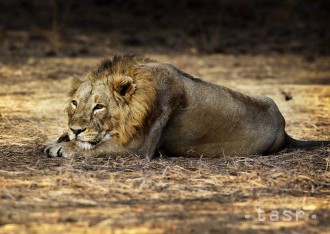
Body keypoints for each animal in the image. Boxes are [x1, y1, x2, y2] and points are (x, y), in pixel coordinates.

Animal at [44, 54, 330, 159]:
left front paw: (63, 146)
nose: (75, 129)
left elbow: (94, 148)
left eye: (99, 107)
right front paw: (61, 137)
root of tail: (284, 129)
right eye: (74, 103)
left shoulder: (138, 147)